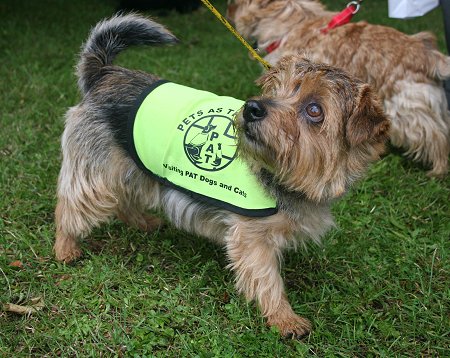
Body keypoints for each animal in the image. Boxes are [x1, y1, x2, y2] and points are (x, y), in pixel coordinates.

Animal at [53, 14, 390, 338]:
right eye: (274, 90)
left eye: (315, 110)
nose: (253, 107)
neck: (282, 175)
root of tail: (104, 73)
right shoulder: (251, 239)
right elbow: (267, 279)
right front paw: (284, 318)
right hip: (95, 171)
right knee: (71, 205)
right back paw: (65, 248)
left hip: (130, 164)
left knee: (122, 198)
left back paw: (141, 221)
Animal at [229, 0, 450, 177]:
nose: (229, 7)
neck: (292, 24)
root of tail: (429, 54)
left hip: (404, 110)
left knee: (436, 135)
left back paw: (437, 171)